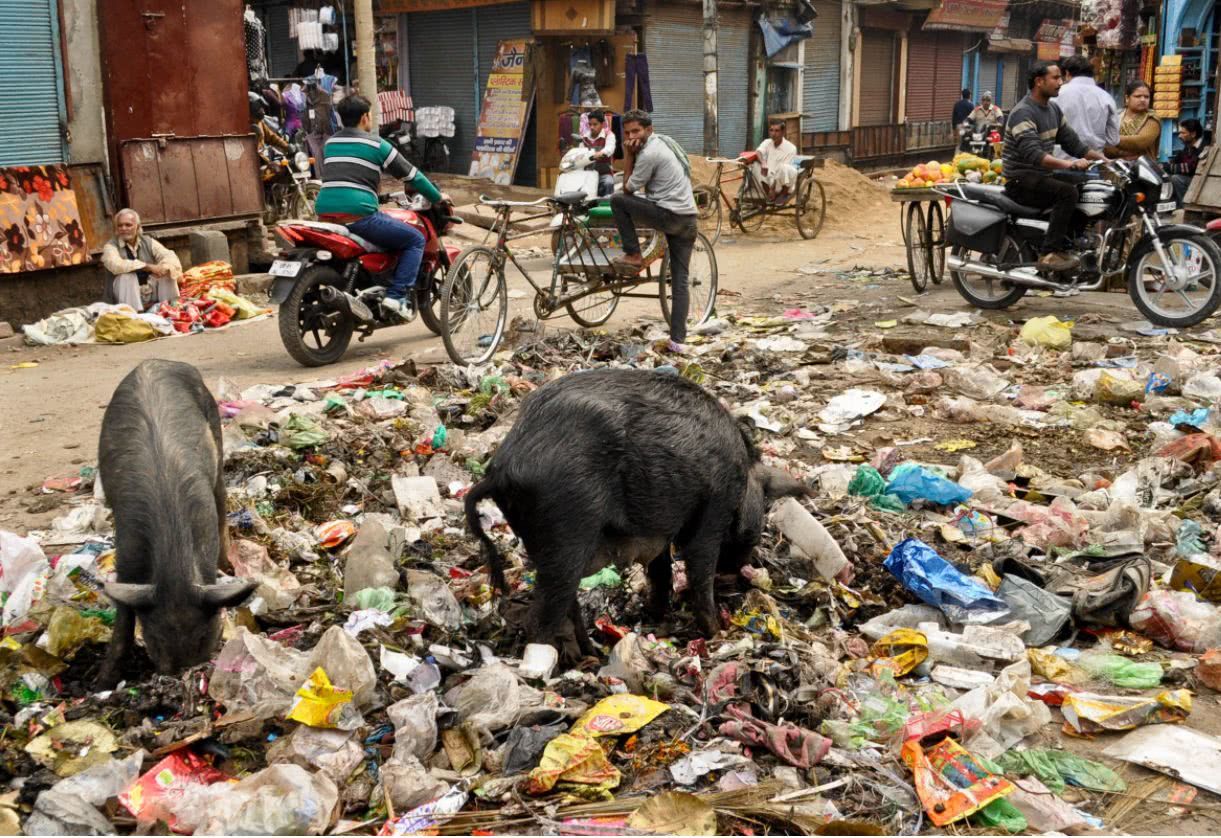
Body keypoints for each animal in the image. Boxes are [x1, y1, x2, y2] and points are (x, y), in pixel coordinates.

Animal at [97, 361, 255, 688]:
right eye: (155, 640)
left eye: (205, 636)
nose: (181, 673)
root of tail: (154, 362)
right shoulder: (126, 552)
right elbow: (123, 617)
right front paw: (103, 683)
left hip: (216, 439)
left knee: (222, 501)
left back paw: (229, 568)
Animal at [461, 371, 805, 659]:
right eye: (763, 504)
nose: (743, 571)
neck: (742, 473)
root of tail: (500, 471)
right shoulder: (712, 512)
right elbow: (699, 573)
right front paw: (718, 634)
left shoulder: (661, 534)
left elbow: (661, 572)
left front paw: (657, 615)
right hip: (566, 535)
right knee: (543, 618)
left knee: (567, 605)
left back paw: (591, 653)